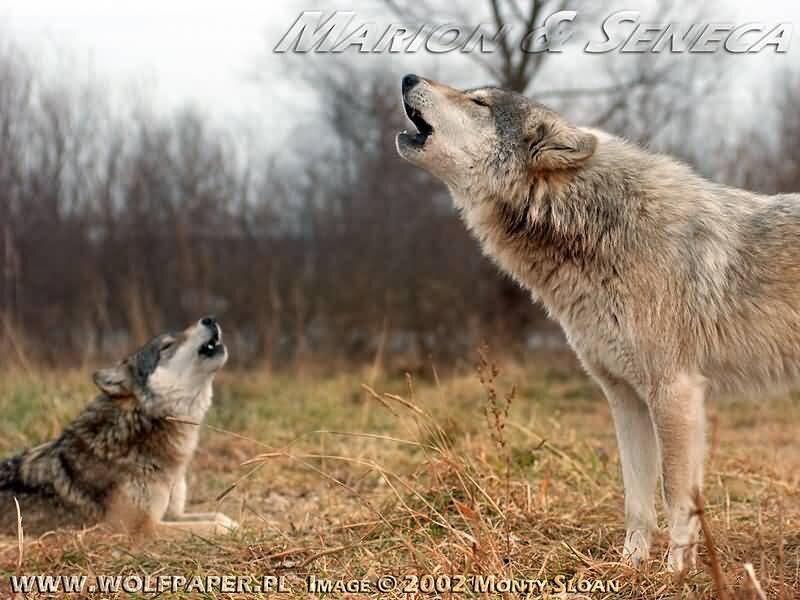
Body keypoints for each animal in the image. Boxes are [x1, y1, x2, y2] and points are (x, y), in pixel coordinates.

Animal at [0, 317, 237, 539]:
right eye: (166, 346)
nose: (209, 319)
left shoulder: (172, 514)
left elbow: (217, 515)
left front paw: (233, 524)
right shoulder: (139, 529)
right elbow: (208, 526)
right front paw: (229, 532)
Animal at [396, 74, 800, 572]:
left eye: (479, 102)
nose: (408, 78)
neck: (598, 227)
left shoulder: (675, 392)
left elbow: (674, 497)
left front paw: (675, 574)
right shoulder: (624, 398)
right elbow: (636, 500)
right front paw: (629, 567)